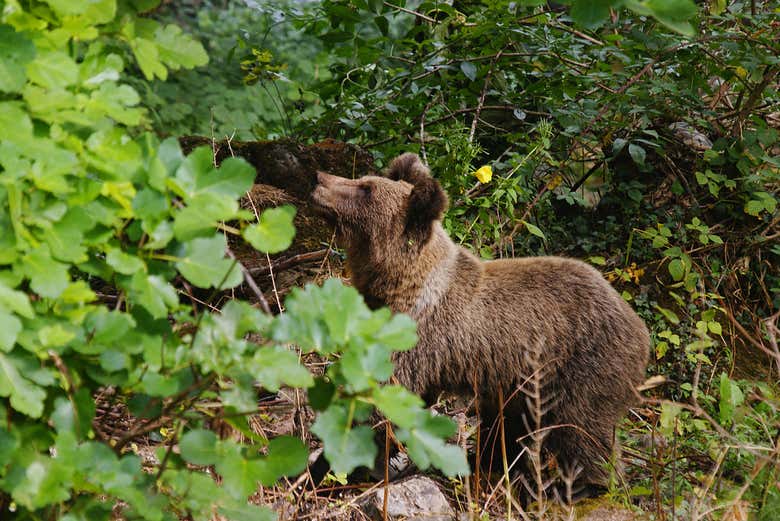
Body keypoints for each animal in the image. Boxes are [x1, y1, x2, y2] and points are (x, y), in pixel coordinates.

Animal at [311, 152, 649, 497]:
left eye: (365, 189)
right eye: (364, 180)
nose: (318, 179)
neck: (399, 285)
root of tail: (639, 327)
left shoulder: (413, 338)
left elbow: (377, 402)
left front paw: (328, 467)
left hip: (582, 365)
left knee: (583, 428)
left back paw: (582, 486)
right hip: (521, 386)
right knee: (511, 427)